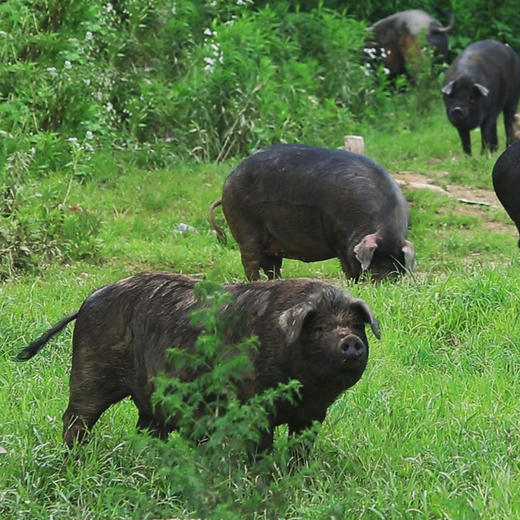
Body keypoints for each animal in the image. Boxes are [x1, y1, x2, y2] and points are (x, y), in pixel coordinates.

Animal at [17, 272, 382, 456]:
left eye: (356, 324)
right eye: (319, 328)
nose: (350, 341)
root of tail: (86, 302)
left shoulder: (313, 414)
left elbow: (300, 448)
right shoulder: (254, 405)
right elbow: (261, 446)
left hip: (148, 394)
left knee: (147, 426)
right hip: (90, 370)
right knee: (76, 416)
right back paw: (74, 457)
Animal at [207, 144, 414, 282]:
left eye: (397, 264)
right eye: (374, 260)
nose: (384, 282)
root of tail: (226, 185)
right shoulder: (340, 240)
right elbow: (348, 267)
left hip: (271, 240)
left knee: (272, 266)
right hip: (245, 227)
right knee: (250, 261)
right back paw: (255, 283)